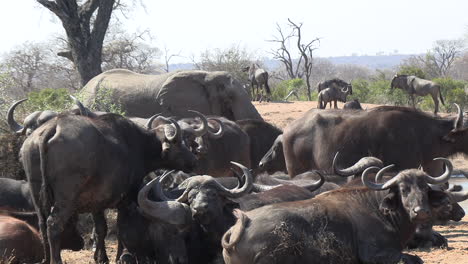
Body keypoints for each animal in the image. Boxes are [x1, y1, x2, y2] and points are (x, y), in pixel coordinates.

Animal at [20, 110, 199, 262]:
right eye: (178, 142)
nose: (193, 161)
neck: (138, 145)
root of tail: (53, 126)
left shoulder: (95, 202)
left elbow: (101, 229)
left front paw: (101, 257)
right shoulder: (126, 200)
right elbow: (121, 228)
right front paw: (119, 256)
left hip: (36, 194)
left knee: (42, 224)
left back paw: (45, 259)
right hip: (66, 199)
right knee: (53, 225)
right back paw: (56, 260)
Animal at [222, 158, 454, 262]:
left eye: (424, 187)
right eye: (403, 189)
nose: (420, 211)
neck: (380, 210)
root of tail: (240, 226)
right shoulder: (377, 254)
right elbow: (415, 259)